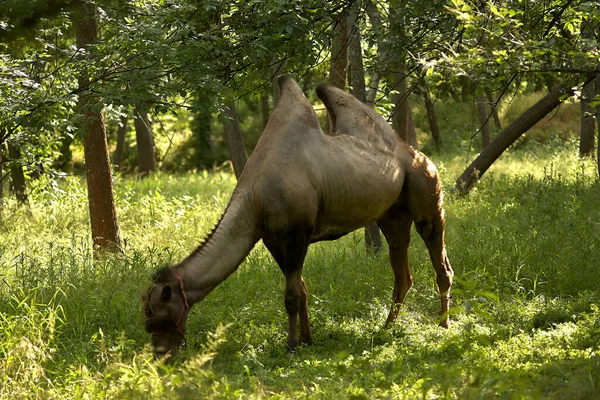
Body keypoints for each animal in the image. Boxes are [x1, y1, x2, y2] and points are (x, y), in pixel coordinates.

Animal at [143, 76, 452, 358]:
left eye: (162, 318)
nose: (161, 355)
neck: (255, 197)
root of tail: (413, 151)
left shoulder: (296, 233)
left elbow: (291, 295)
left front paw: (291, 345)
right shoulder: (271, 239)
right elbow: (301, 289)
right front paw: (307, 339)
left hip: (426, 190)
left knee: (439, 258)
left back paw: (443, 324)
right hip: (392, 216)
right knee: (403, 273)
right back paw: (388, 326)